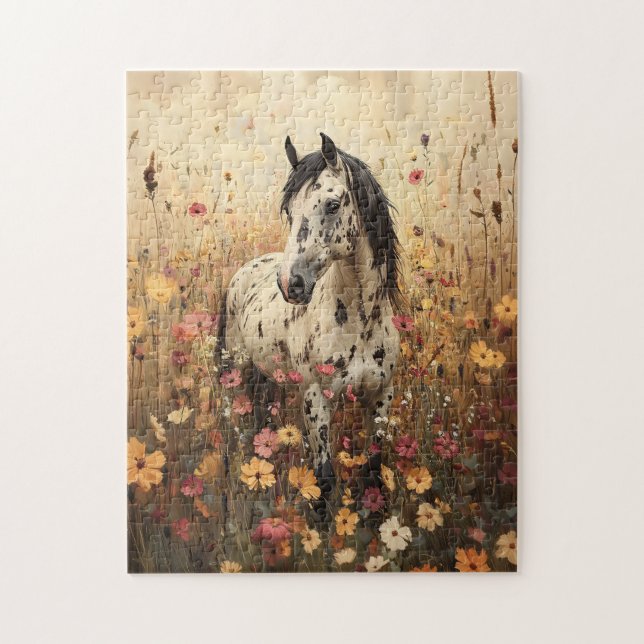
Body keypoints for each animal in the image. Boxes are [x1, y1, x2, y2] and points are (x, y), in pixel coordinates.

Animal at [220, 133, 403, 504]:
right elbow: (323, 480)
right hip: (236, 374)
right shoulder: (316, 400)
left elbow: (374, 471)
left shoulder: (381, 397)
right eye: (289, 212)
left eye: (332, 205)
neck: (360, 322)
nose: (290, 284)